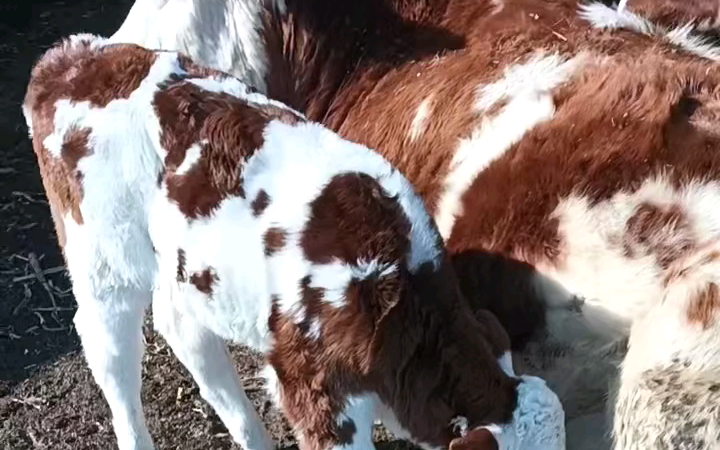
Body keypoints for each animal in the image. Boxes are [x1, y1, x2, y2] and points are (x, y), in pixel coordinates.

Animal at [22, 34, 564, 450]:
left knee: (184, 330)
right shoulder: (317, 391)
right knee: (111, 353)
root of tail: (67, 59)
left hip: (185, 265)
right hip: (104, 259)